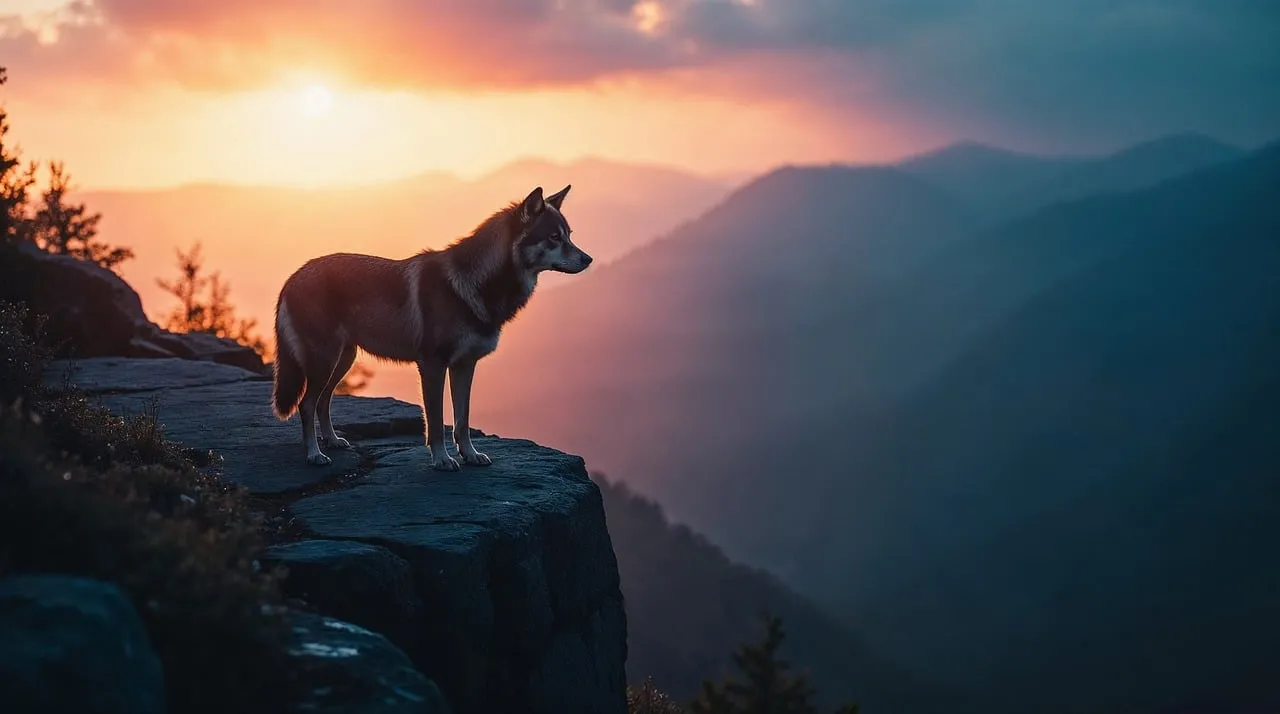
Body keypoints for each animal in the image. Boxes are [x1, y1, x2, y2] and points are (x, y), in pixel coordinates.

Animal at [270, 185, 591, 470]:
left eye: (569, 236)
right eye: (554, 237)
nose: (588, 259)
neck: (474, 285)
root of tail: (291, 279)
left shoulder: (465, 365)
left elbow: (462, 419)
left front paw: (470, 455)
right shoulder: (432, 365)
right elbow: (436, 422)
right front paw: (442, 460)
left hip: (341, 361)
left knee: (323, 401)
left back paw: (333, 441)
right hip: (325, 361)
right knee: (306, 404)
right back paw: (314, 455)